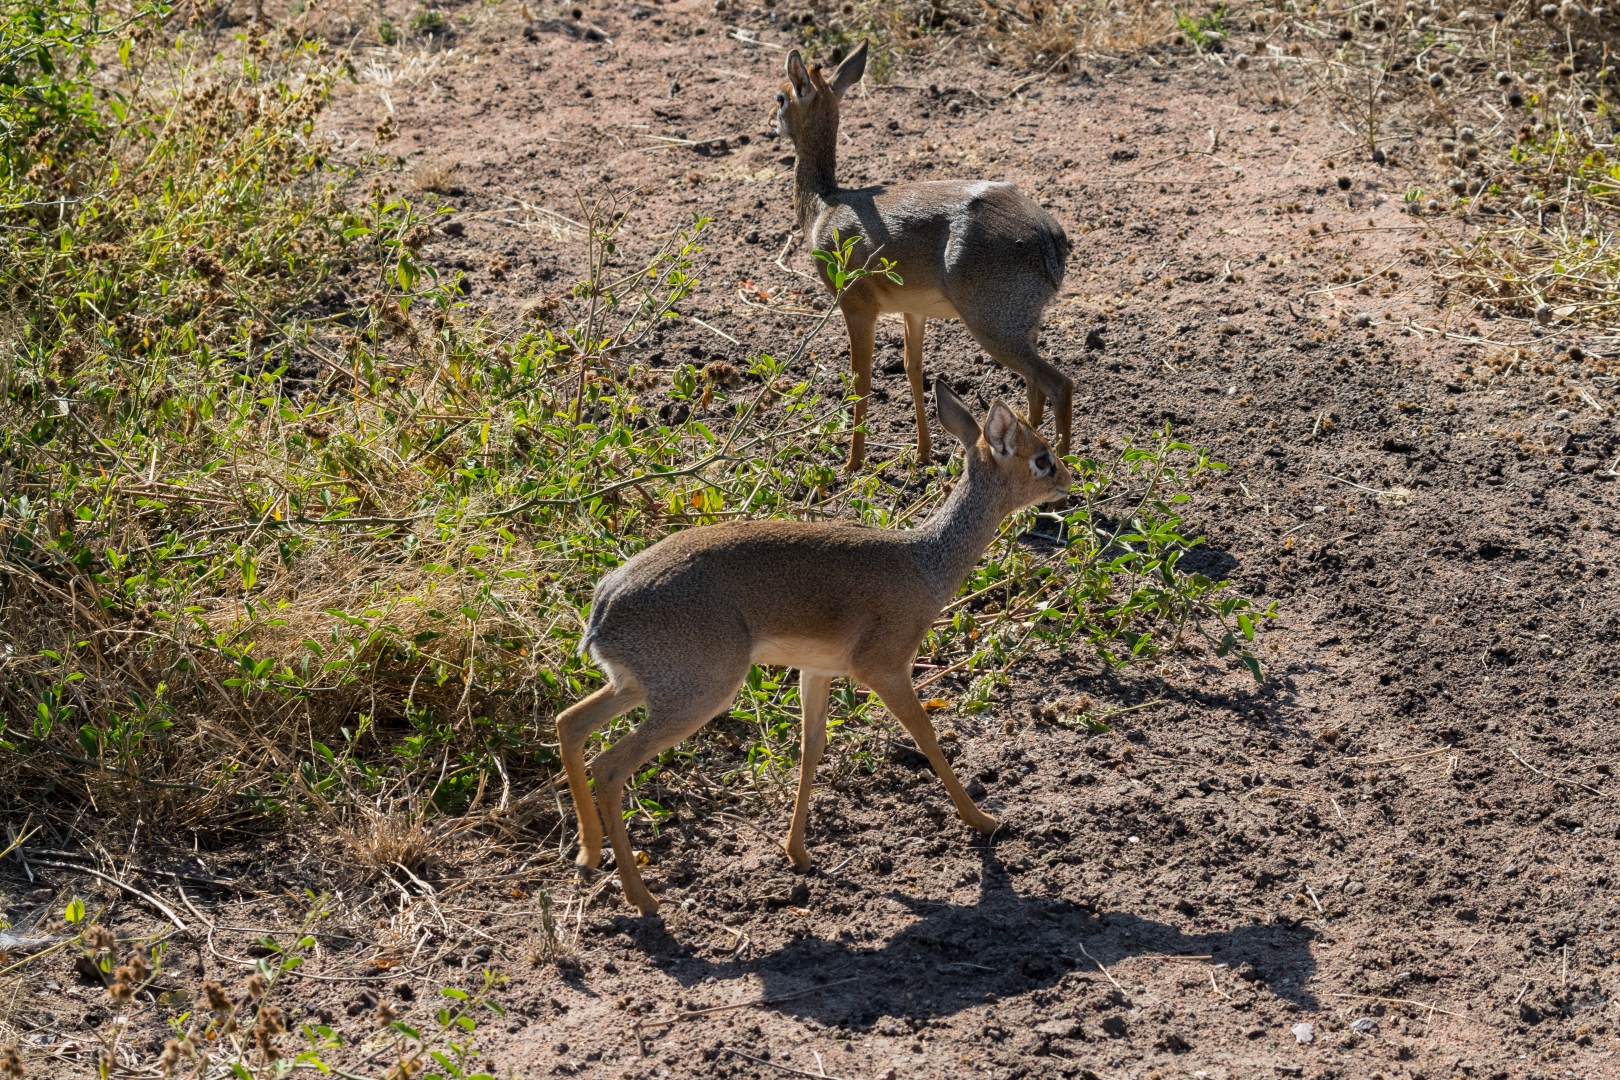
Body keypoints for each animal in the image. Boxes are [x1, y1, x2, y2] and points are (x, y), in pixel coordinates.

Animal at [560, 383, 1075, 919]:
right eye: (1041, 457)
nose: (1069, 479)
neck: (924, 564)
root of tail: (602, 609)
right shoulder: (885, 667)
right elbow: (927, 735)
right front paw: (984, 820)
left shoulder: (817, 671)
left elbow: (812, 749)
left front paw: (798, 853)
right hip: (700, 694)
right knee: (609, 767)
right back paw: (642, 898)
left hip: (639, 686)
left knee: (569, 724)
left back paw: (588, 855)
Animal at [774, 40, 1075, 469]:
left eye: (781, 97)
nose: (772, 123)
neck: (823, 206)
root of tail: (1049, 238)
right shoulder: (912, 310)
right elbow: (913, 369)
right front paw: (922, 452)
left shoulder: (856, 306)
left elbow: (862, 379)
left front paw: (853, 463)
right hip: (1024, 325)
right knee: (1036, 389)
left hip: (992, 325)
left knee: (1060, 384)